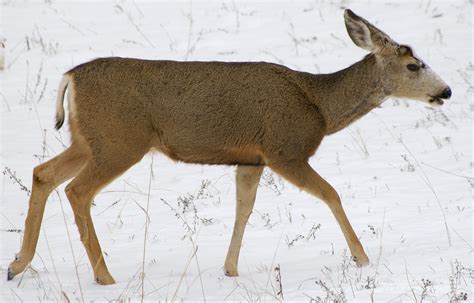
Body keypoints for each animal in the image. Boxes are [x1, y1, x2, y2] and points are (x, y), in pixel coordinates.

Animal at [7, 9, 452, 284]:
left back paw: (16, 265)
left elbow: (243, 208)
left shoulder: (250, 160)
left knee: (43, 173)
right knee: (77, 190)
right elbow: (331, 194)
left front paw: (230, 269)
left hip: (91, 139)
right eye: (413, 65)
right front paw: (361, 258)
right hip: (121, 141)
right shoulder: (285, 149)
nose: (446, 91)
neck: (320, 106)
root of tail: (70, 76)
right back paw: (104, 276)